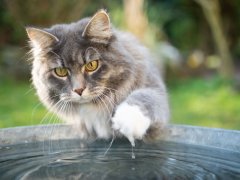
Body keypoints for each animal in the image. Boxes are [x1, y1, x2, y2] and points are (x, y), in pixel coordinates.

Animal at [26, 9, 170, 146]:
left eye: (91, 65)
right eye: (61, 71)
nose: (78, 90)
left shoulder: (155, 89)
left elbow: (145, 97)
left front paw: (128, 119)